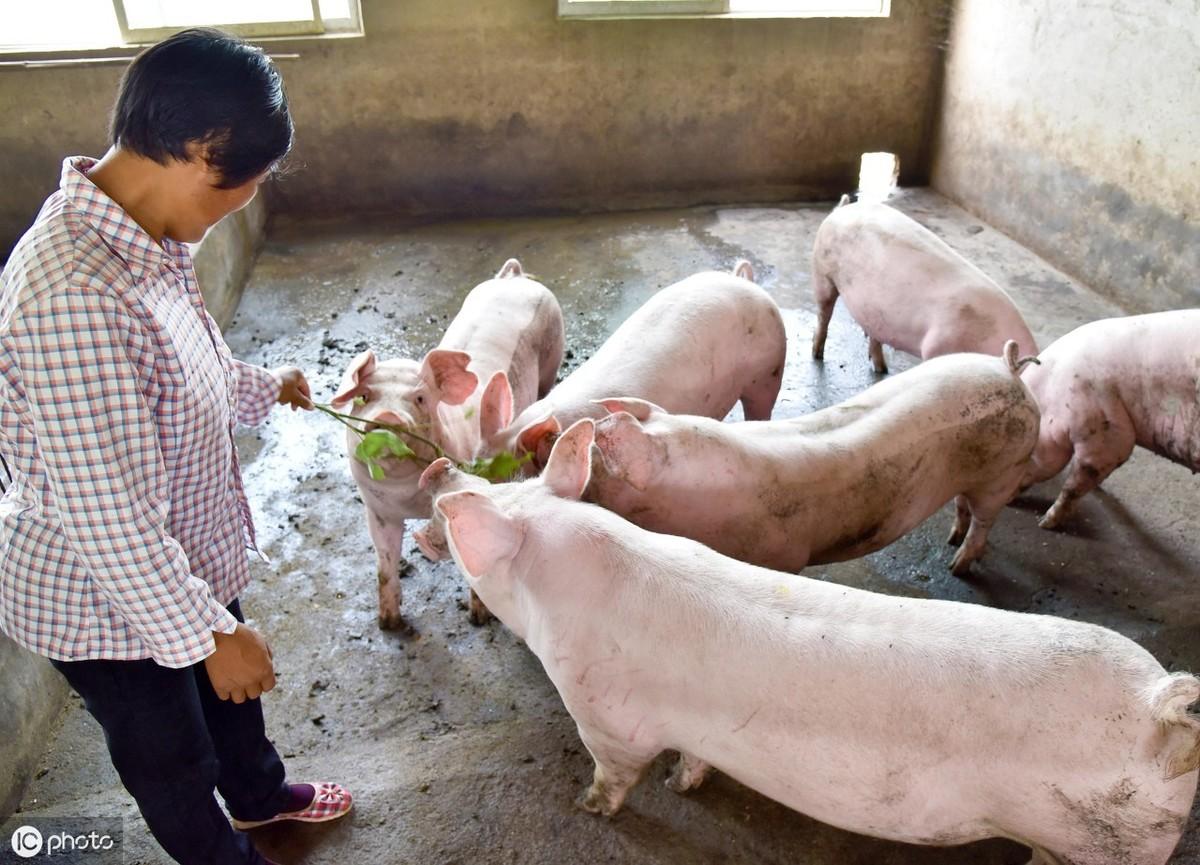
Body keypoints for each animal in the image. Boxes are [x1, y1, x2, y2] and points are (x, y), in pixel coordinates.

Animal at [432, 415, 1200, 859]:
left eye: (476, 510)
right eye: (510, 485)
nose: (440, 469)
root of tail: (1157, 700)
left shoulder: (606, 717)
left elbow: (613, 774)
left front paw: (588, 807)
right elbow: (696, 757)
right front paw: (685, 783)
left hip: (1110, 846)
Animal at [588, 343, 1041, 573]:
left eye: (596, 469)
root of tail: (1010, 370)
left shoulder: (783, 555)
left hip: (1008, 468)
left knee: (985, 519)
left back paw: (957, 566)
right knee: (964, 504)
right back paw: (951, 540)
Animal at [811, 199, 1036, 374]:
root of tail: (841, 209)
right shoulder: (938, 344)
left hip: (872, 307)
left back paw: (882, 369)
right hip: (822, 271)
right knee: (824, 314)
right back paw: (817, 355)